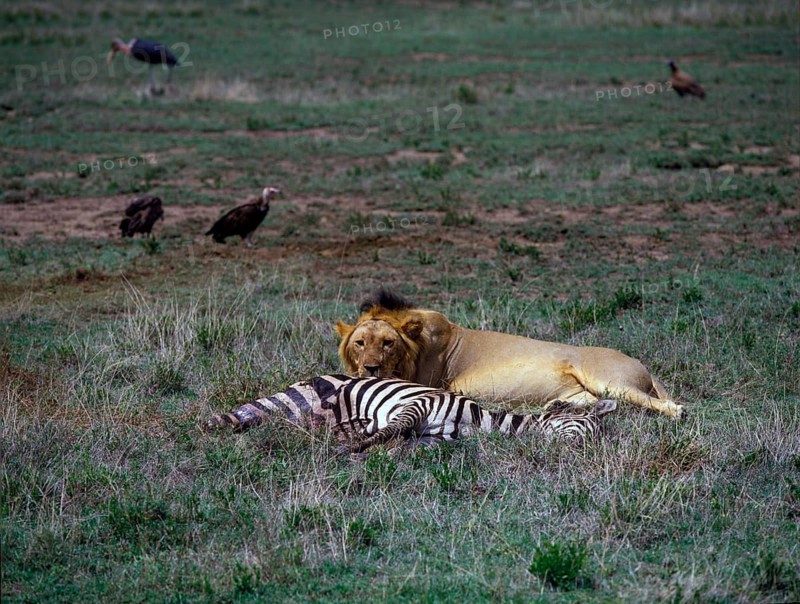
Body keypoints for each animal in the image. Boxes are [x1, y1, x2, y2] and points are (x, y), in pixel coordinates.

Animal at [335, 290, 684, 418]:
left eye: (388, 343)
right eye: (360, 343)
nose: (371, 368)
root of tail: (644, 366)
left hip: (608, 380)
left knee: (670, 407)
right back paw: (556, 406)